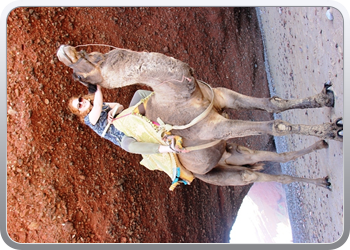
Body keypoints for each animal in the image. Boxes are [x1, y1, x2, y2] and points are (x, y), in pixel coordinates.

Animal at [56, 45, 342, 189]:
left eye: (91, 56)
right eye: (78, 76)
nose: (63, 49)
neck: (182, 95)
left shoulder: (224, 96)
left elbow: (273, 103)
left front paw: (326, 99)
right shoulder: (215, 129)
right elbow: (276, 125)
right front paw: (330, 130)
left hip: (232, 154)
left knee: (263, 158)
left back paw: (323, 170)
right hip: (221, 173)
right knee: (252, 176)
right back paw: (323, 162)